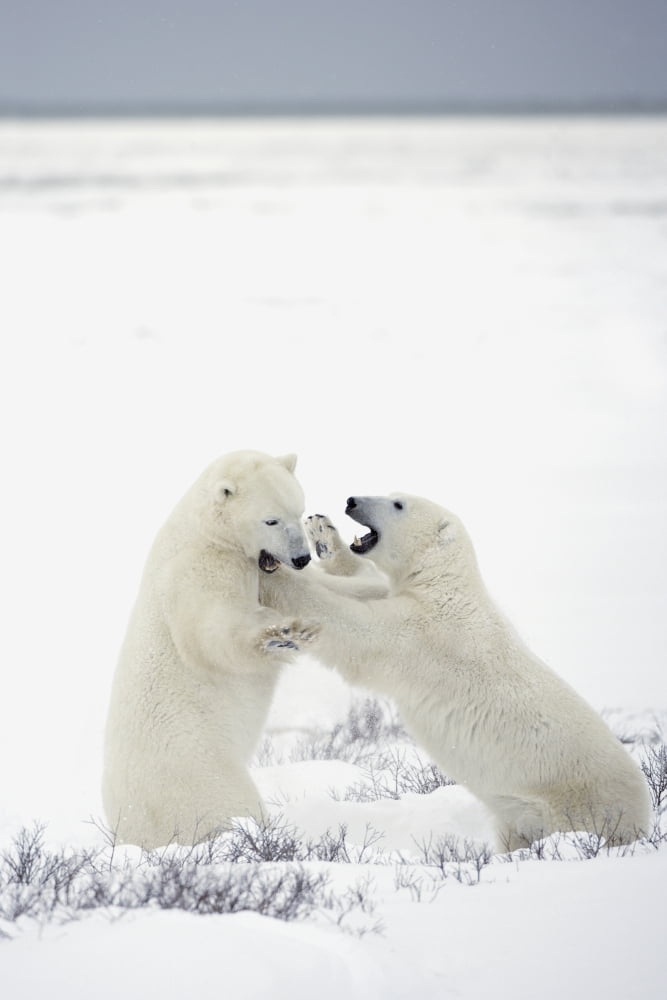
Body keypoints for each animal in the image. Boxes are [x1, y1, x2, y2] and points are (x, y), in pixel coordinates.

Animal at [102, 450, 318, 850]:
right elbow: (211, 631)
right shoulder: (197, 567)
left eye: (299, 510)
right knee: (230, 805)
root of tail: (126, 830)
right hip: (198, 772)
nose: (301, 558)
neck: (206, 529)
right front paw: (280, 634)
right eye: (271, 519)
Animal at [260, 493, 652, 851]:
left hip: (576, 807)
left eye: (398, 503)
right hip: (519, 815)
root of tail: (643, 817)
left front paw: (277, 578)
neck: (445, 585)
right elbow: (365, 584)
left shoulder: (425, 633)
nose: (352, 500)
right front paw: (322, 533)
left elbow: (357, 629)